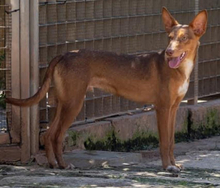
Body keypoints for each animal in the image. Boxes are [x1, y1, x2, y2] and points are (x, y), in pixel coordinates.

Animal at [6, 8, 207, 173]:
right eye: (169, 38)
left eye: (183, 38)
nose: (168, 52)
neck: (179, 69)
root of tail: (65, 54)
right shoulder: (162, 108)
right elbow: (164, 142)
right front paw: (167, 167)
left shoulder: (173, 108)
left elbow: (171, 142)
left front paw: (174, 164)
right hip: (74, 104)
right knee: (57, 136)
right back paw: (63, 165)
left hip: (65, 103)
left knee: (48, 134)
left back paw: (53, 164)